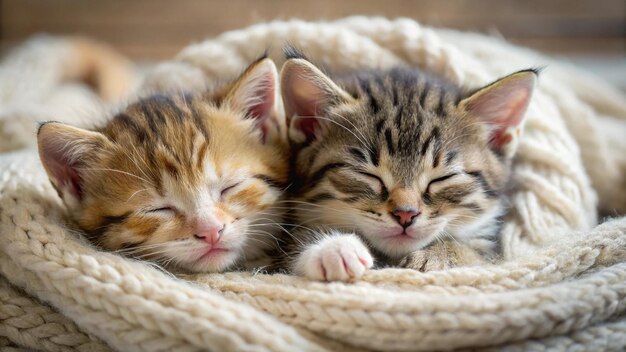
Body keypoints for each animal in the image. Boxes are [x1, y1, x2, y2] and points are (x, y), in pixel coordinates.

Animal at [280, 49, 536, 282]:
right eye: (367, 175)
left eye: (442, 178)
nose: (405, 214)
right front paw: (334, 248)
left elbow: (476, 255)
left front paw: (437, 256)